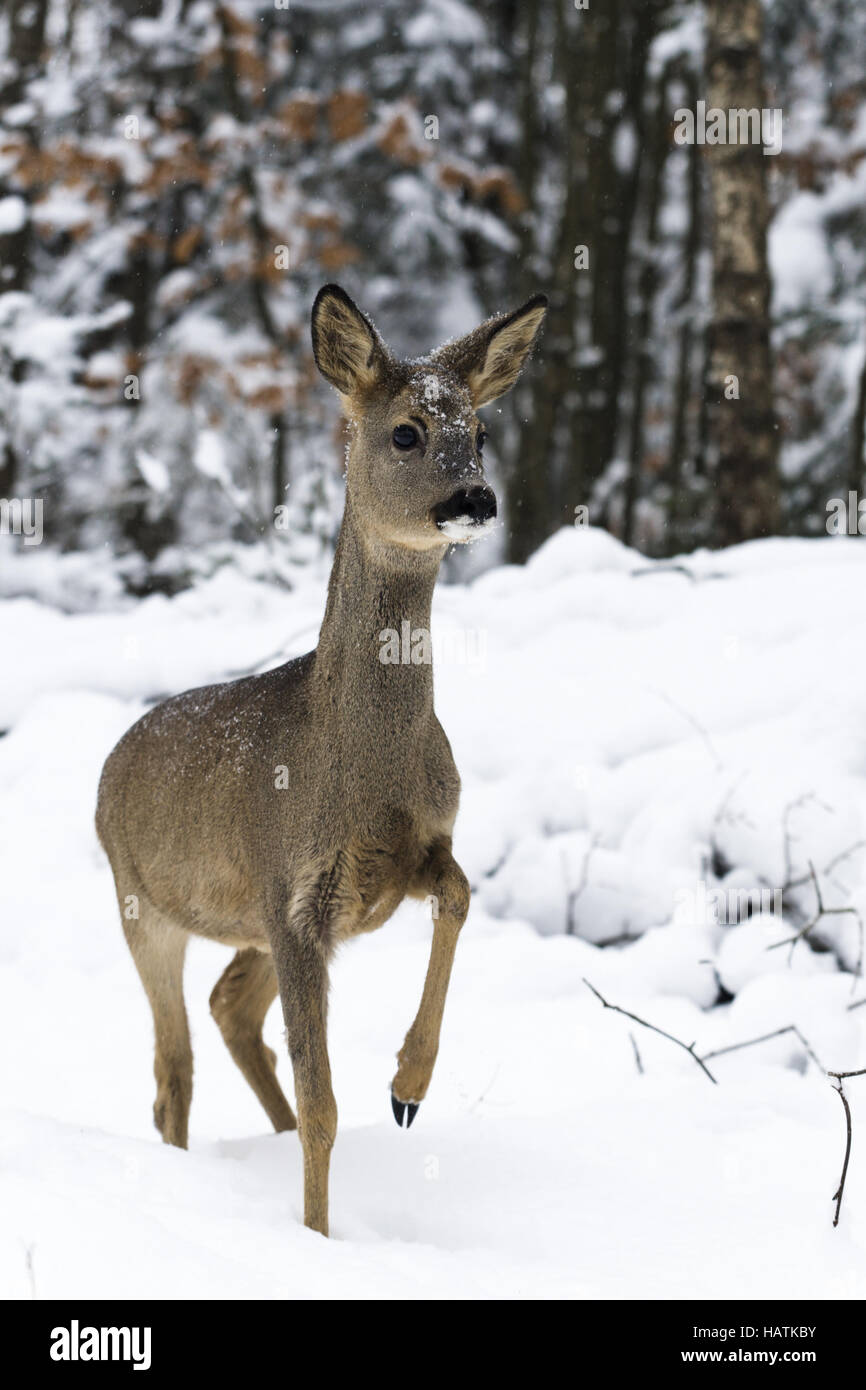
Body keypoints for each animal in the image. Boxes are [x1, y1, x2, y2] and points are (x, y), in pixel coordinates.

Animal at [96, 279, 547, 1228]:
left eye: (482, 430)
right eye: (406, 431)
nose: (476, 499)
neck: (363, 768)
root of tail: (108, 765)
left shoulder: (405, 856)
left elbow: (462, 896)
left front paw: (409, 1085)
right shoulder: (291, 892)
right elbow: (323, 1106)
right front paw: (317, 1235)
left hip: (247, 924)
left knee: (227, 1008)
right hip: (141, 904)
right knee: (171, 1069)